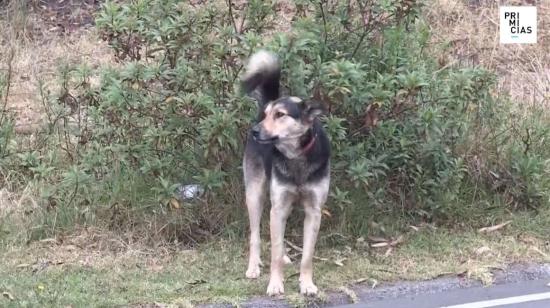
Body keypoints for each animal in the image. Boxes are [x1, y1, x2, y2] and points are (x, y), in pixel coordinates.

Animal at [243, 51, 330, 296]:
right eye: (268, 115)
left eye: (280, 115)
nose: (255, 131)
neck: (296, 156)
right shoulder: (278, 205)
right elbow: (273, 251)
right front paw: (275, 284)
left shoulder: (314, 211)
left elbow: (307, 256)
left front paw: (307, 284)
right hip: (255, 195)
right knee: (255, 235)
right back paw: (253, 267)